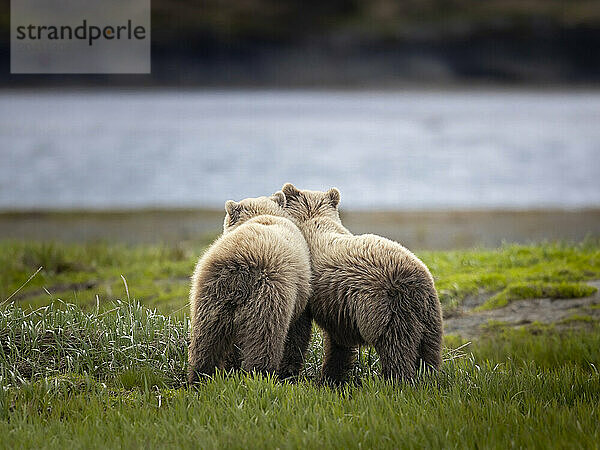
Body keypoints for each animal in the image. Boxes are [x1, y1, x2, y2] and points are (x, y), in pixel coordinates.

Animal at [188, 192, 312, 384]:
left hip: (210, 295)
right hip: (269, 296)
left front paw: (231, 367)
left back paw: (200, 377)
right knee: (264, 341)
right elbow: (297, 331)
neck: (261, 215)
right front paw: (289, 371)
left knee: (206, 342)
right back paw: (261, 376)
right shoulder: (300, 293)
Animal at [280, 183, 440, 384]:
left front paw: (287, 373)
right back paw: (429, 377)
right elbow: (339, 343)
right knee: (429, 350)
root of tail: (416, 279)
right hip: (429, 313)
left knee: (396, 348)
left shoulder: (304, 287)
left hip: (386, 309)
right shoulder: (338, 308)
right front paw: (332, 377)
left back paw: (396, 380)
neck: (312, 217)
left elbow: (296, 332)